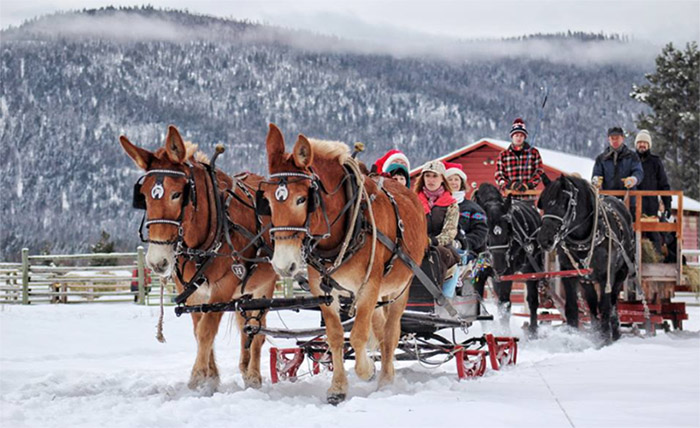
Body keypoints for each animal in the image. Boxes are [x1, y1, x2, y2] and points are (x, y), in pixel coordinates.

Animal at [474, 182, 544, 332]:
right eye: (486, 231)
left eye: (508, 229)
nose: (499, 265)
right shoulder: (478, 272)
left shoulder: (507, 273)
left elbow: (505, 304)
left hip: (531, 265)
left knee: (532, 300)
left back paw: (533, 330)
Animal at [536, 174, 636, 342]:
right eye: (543, 202)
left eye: (562, 203)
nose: (544, 240)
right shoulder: (568, 274)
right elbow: (571, 308)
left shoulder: (606, 276)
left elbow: (605, 307)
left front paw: (605, 341)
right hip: (587, 280)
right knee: (592, 304)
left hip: (621, 273)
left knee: (612, 303)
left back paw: (614, 333)